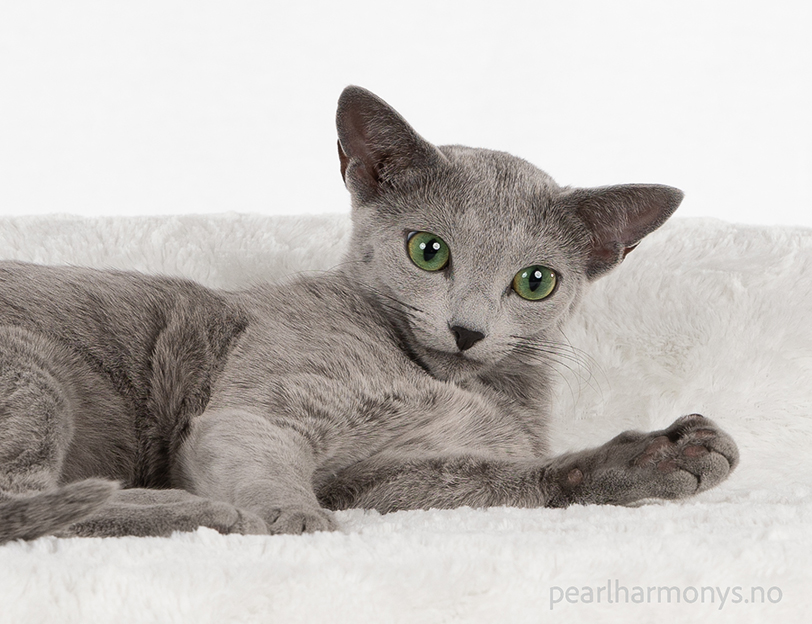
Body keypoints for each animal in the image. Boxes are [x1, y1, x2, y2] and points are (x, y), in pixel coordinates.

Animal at [0, 84, 736, 540]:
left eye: (534, 283)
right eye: (428, 251)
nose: (466, 329)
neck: (451, 381)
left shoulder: (372, 479)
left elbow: (501, 478)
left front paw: (659, 458)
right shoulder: (259, 409)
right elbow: (258, 451)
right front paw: (296, 519)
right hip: (34, 372)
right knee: (24, 505)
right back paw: (201, 510)